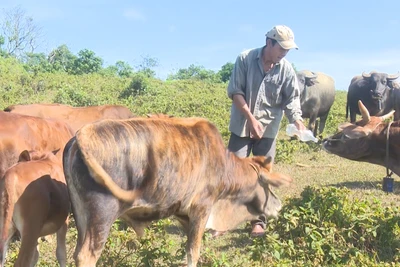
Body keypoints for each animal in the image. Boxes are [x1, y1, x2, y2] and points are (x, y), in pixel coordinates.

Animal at [64, 117, 292, 267]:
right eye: (267, 186)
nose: (278, 205)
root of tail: (82, 135)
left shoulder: (183, 214)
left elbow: (187, 250)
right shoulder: (202, 208)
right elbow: (193, 253)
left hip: (82, 217)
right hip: (102, 216)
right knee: (86, 256)